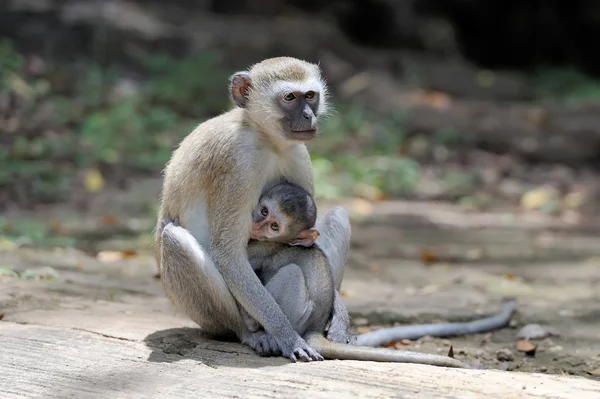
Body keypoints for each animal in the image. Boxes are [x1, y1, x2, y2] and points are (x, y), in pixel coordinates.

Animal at [157, 57, 350, 362]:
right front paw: (287, 336)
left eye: (310, 96)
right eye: (290, 98)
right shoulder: (238, 162)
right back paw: (248, 333)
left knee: (338, 215)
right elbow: (228, 254)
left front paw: (340, 318)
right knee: (174, 239)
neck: (265, 140)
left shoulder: (298, 154)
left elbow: (311, 237)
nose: (308, 116)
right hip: (201, 313)